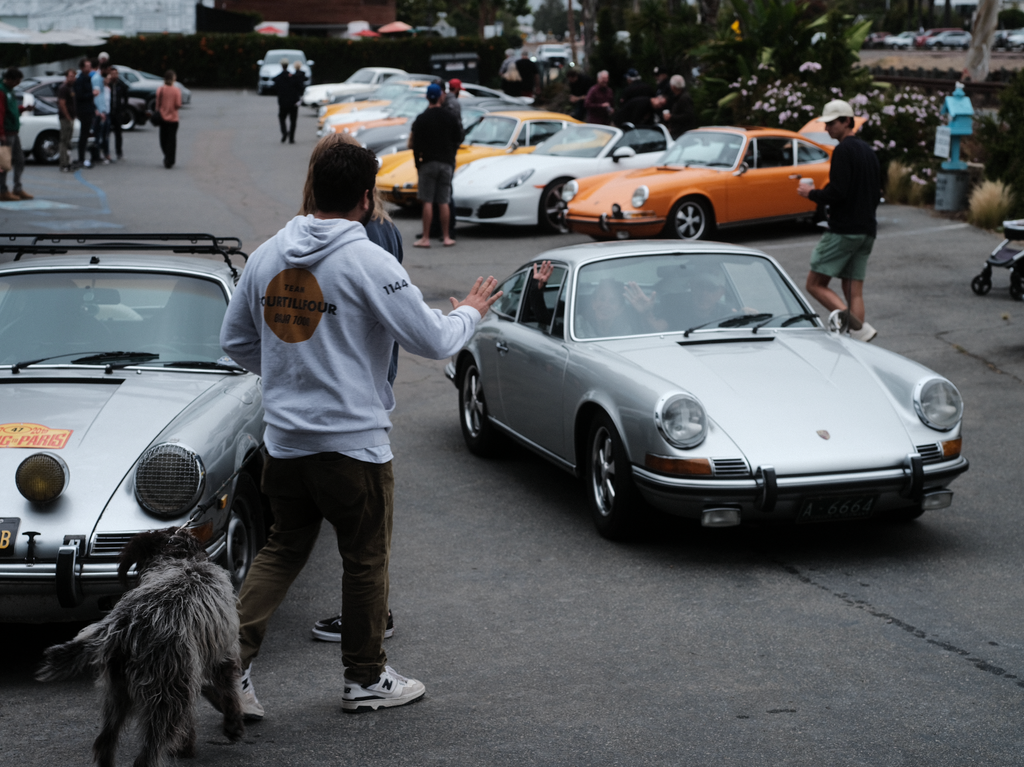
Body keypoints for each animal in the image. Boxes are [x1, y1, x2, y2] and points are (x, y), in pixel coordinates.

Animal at [35, 528, 243, 765]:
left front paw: (186, 745)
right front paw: (232, 724)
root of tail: (120, 627)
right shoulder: (222, 653)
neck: (181, 559)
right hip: (167, 696)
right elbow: (229, 691)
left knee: (104, 742)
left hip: (118, 693)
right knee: (147, 755)